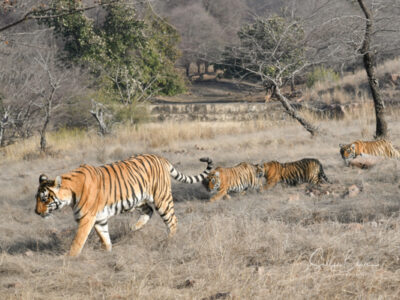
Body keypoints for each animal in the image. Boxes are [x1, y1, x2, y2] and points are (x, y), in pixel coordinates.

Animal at [36, 155, 214, 255]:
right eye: (36, 198)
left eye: (44, 199)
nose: (37, 212)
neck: (71, 193)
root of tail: (160, 158)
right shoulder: (99, 219)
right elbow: (104, 237)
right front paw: (108, 253)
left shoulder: (87, 218)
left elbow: (78, 241)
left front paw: (68, 258)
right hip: (138, 200)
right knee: (149, 211)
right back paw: (135, 227)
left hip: (162, 198)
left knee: (172, 221)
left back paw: (167, 241)